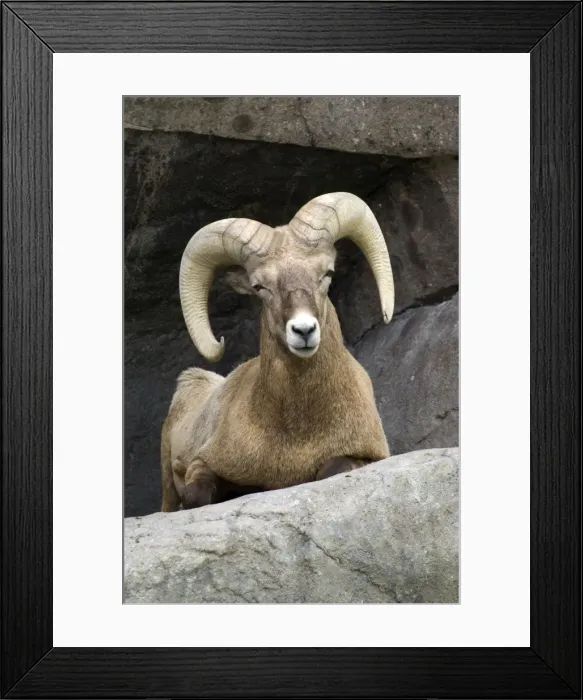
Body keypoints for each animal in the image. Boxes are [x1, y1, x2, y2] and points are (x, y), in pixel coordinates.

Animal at [160, 192, 395, 511]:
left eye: (327, 273)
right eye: (260, 286)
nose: (304, 330)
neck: (296, 436)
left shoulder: (365, 457)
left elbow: (330, 469)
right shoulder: (201, 464)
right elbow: (198, 495)